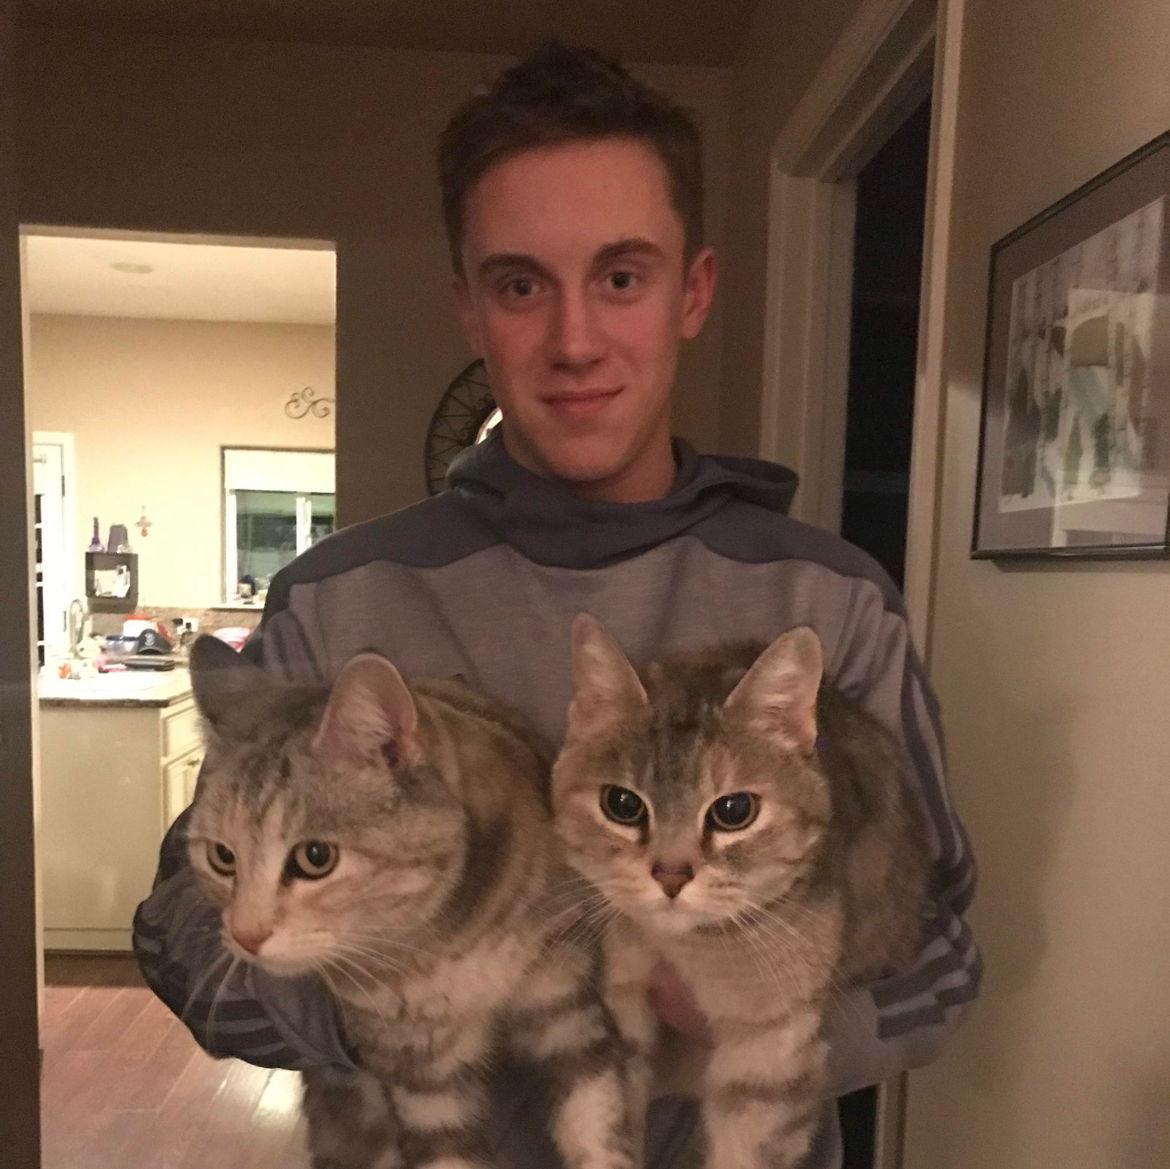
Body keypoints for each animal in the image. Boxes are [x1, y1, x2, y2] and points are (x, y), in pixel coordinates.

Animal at [185, 633, 636, 1169]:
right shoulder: (421, 1074)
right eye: (222, 857)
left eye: (315, 857)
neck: (443, 943)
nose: (245, 935)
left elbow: (596, 1122)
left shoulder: (566, 1003)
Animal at [551, 614, 930, 1169]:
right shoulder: (619, 1021)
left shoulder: (769, 1052)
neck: (685, 949)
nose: (670, 875)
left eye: (734, 811)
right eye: (621, 804)